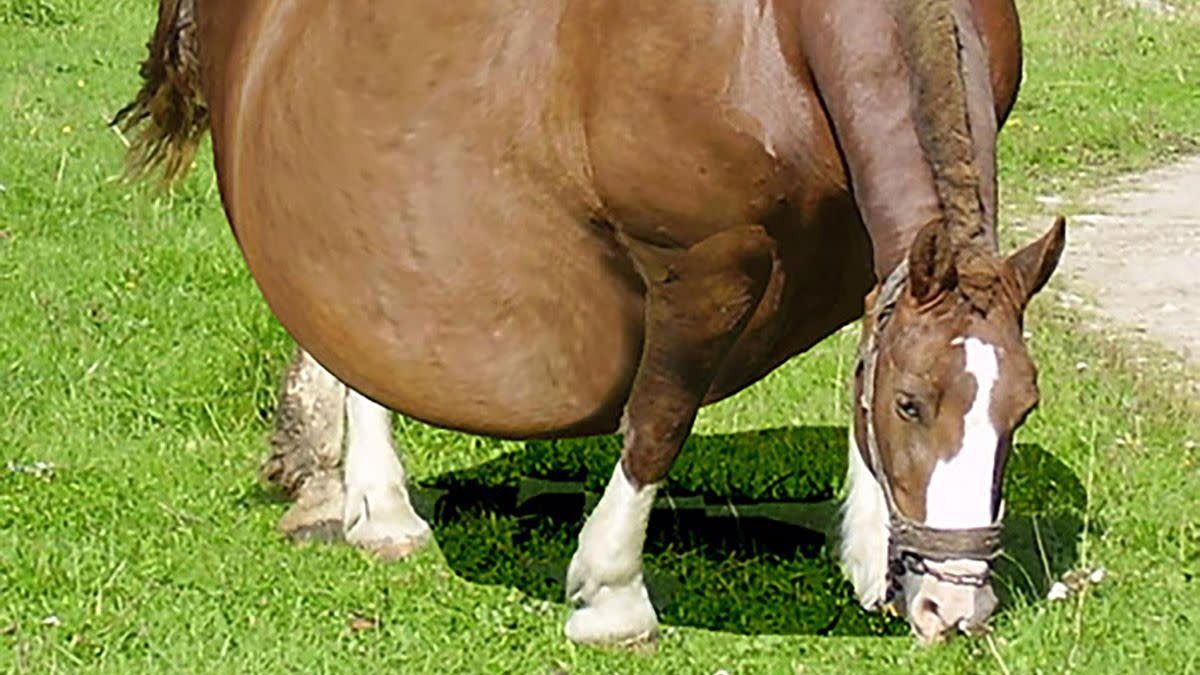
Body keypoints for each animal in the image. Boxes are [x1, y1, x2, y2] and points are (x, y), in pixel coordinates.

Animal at [117, 0, 1065, 643]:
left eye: (1021, 409)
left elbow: (871, 331)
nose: (955, 603)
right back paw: (377, 506)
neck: (777, 36)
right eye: (913, 404)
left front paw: (869, 554)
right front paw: (611, 593)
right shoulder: (700, 258)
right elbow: (658, 419)